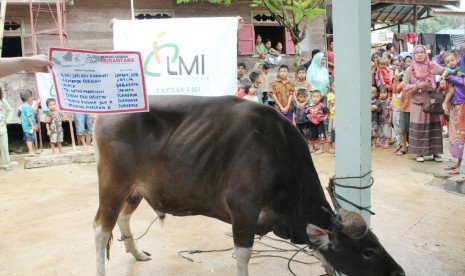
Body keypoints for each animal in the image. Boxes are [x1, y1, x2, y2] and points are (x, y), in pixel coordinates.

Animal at [92, 96, 404, 274]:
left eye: (377, 243)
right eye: (369, 251)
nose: (399, 273)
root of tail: (104, 115)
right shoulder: (243, 212)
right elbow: (243, 257)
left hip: (134, 190)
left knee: (122, 218)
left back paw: (137, 253)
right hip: (113, 183)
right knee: (100, 228)